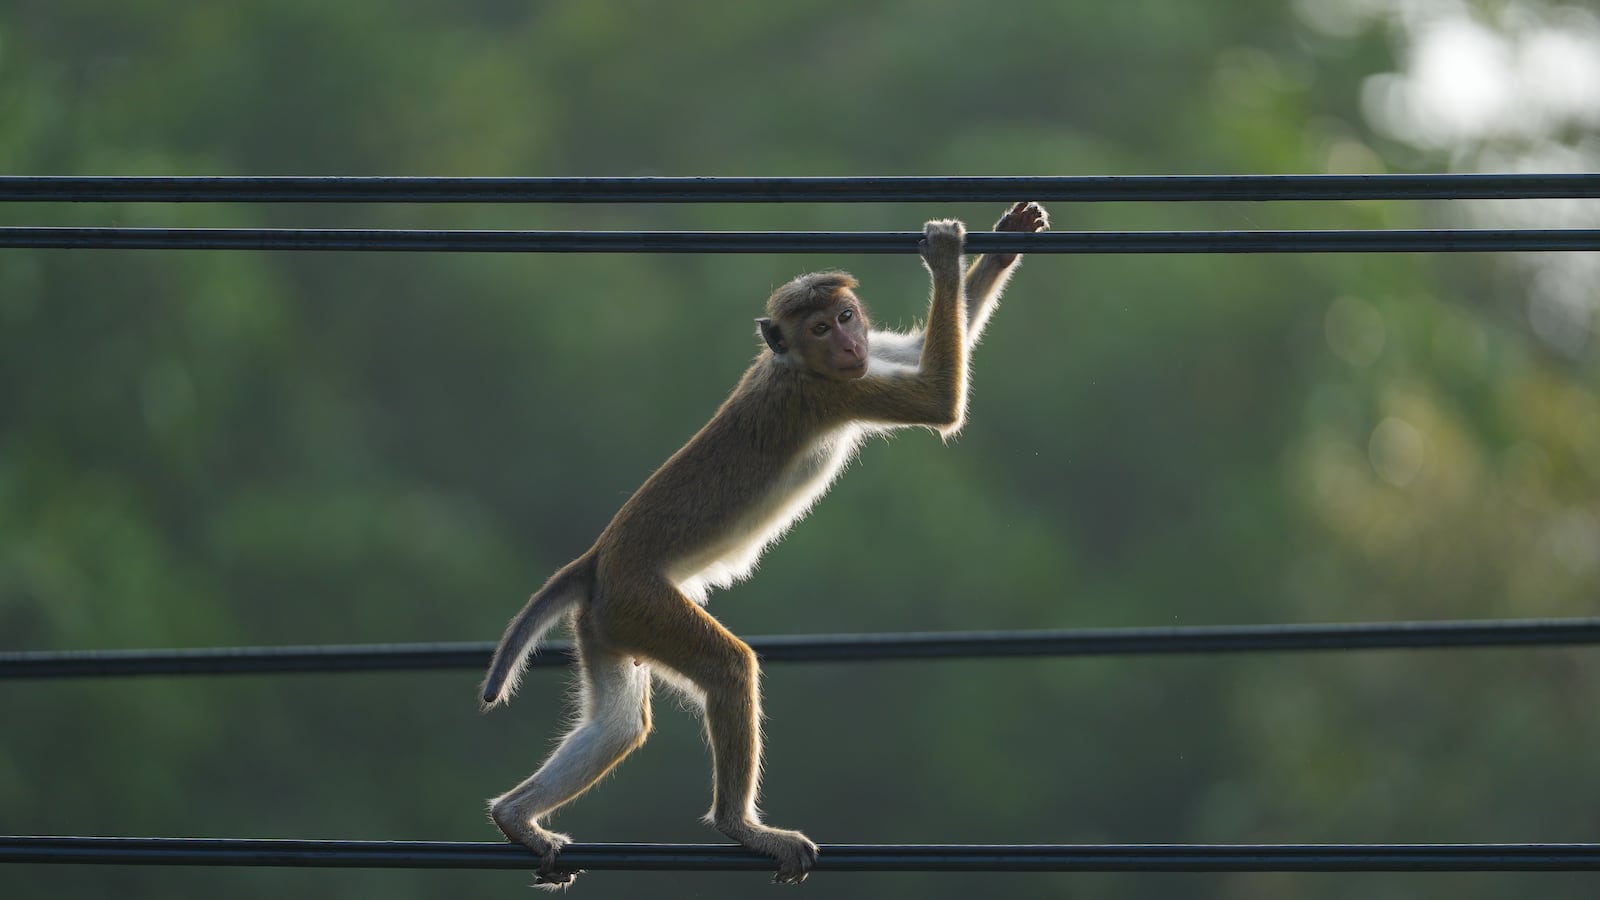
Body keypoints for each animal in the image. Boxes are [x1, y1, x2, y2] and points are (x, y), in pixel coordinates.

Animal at [480, 201, 1049, 887]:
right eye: (821, 327)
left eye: (846, 317)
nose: (849, 342)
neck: (797, 367)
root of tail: (598, 559)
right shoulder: (831, 392)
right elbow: (938, 397)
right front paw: (943, 256)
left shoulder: (858, 368)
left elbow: (915, 347)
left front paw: (1003, 246)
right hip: (643, 602)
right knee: (727, 669)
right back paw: (740, 827)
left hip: (609, 622)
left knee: (617, 727)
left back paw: (515, 816)